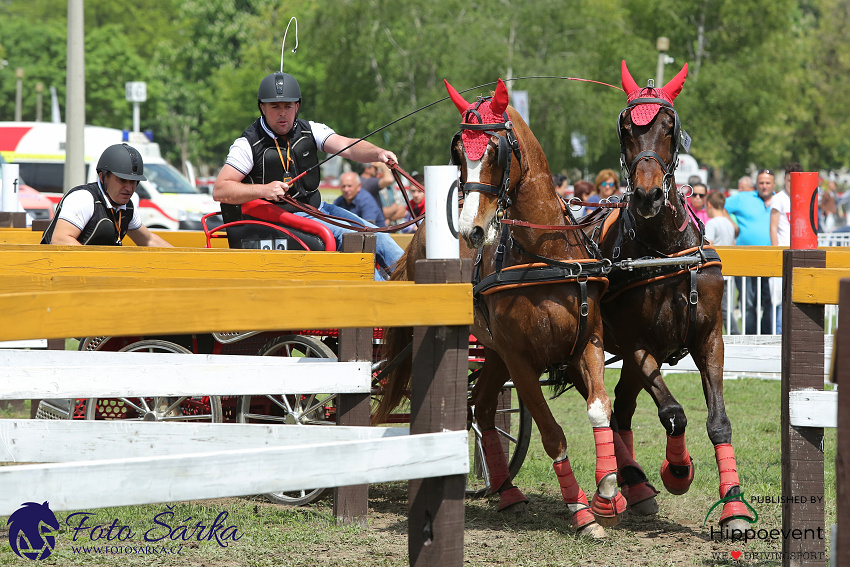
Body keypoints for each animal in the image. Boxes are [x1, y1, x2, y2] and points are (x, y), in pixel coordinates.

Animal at [374, 79, 628, 536]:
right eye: (459, 153)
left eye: (496, 151)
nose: (471, 230)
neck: (545, 256)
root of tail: (418, 234)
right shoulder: (520, 359)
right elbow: (552, 433)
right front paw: (581, 512)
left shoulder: (588, 343)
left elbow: (600, 409)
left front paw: (607, 495)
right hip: (490, 350)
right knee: (475, 406)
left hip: (491, 352)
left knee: (483, 407)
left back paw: (507, 491)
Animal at [592, 62, 752, 536]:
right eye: (627, 129)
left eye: (668, 127)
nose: (647, 195)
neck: (663, 250)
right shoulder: (638, 345)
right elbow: (674, 413)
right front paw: (678, 470)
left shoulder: (709, 338)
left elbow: (718, 421)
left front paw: (733, 505)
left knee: (622, 410)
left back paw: (635, 484)